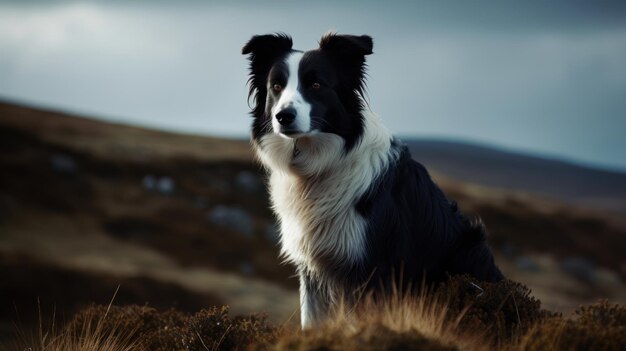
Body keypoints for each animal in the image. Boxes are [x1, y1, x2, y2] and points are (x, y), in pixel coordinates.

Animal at [240, 33, 502, 330]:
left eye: (316, 84)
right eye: (276, 86)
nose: (283, 116)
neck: (319, 167)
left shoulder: (373, 267)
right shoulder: (312, 267)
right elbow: (311, 321)